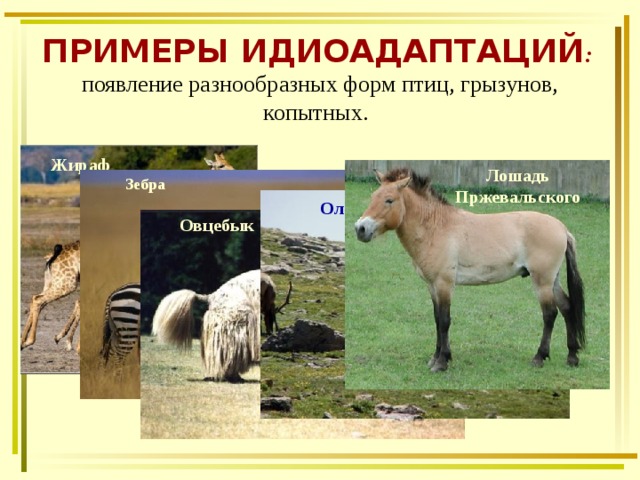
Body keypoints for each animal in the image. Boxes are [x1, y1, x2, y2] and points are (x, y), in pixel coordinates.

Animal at [353, 168, 585, 372]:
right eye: (373, 196)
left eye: (389, 200)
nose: (360, 229)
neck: (436, 227)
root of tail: (562, 229)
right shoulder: (432, 286)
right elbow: (437, 320)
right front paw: (435, 358)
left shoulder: (444, 284)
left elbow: (445, 321)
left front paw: (442, 362)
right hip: (552, 280)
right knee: (567, 307)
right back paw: (572, 357)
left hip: (542, 281)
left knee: (550, 314)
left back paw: (539, 357)